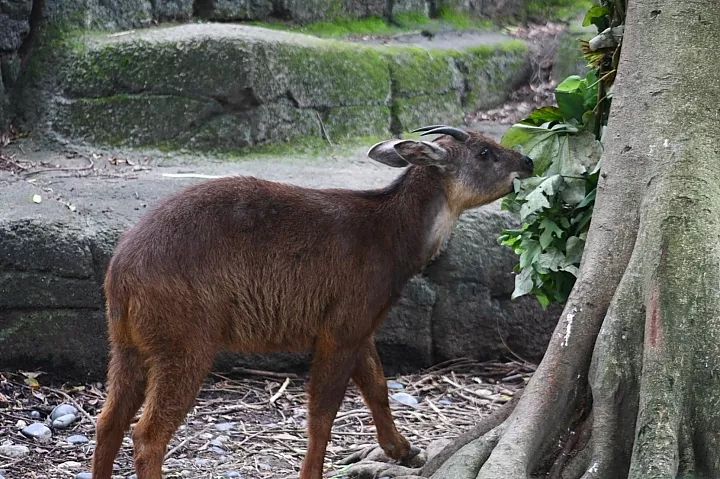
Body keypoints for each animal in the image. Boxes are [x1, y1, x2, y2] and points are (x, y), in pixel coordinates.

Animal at [91, 126, 536, 479]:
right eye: (485, 152)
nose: (529, 160)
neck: (388, 233)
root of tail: (121, 271)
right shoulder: (342, 330)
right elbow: (323, 413)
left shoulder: (359, 328)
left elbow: (377, 387)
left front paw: (405, 451)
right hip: (185, 346)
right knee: (147, 434)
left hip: (127, 346)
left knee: (108, 421)